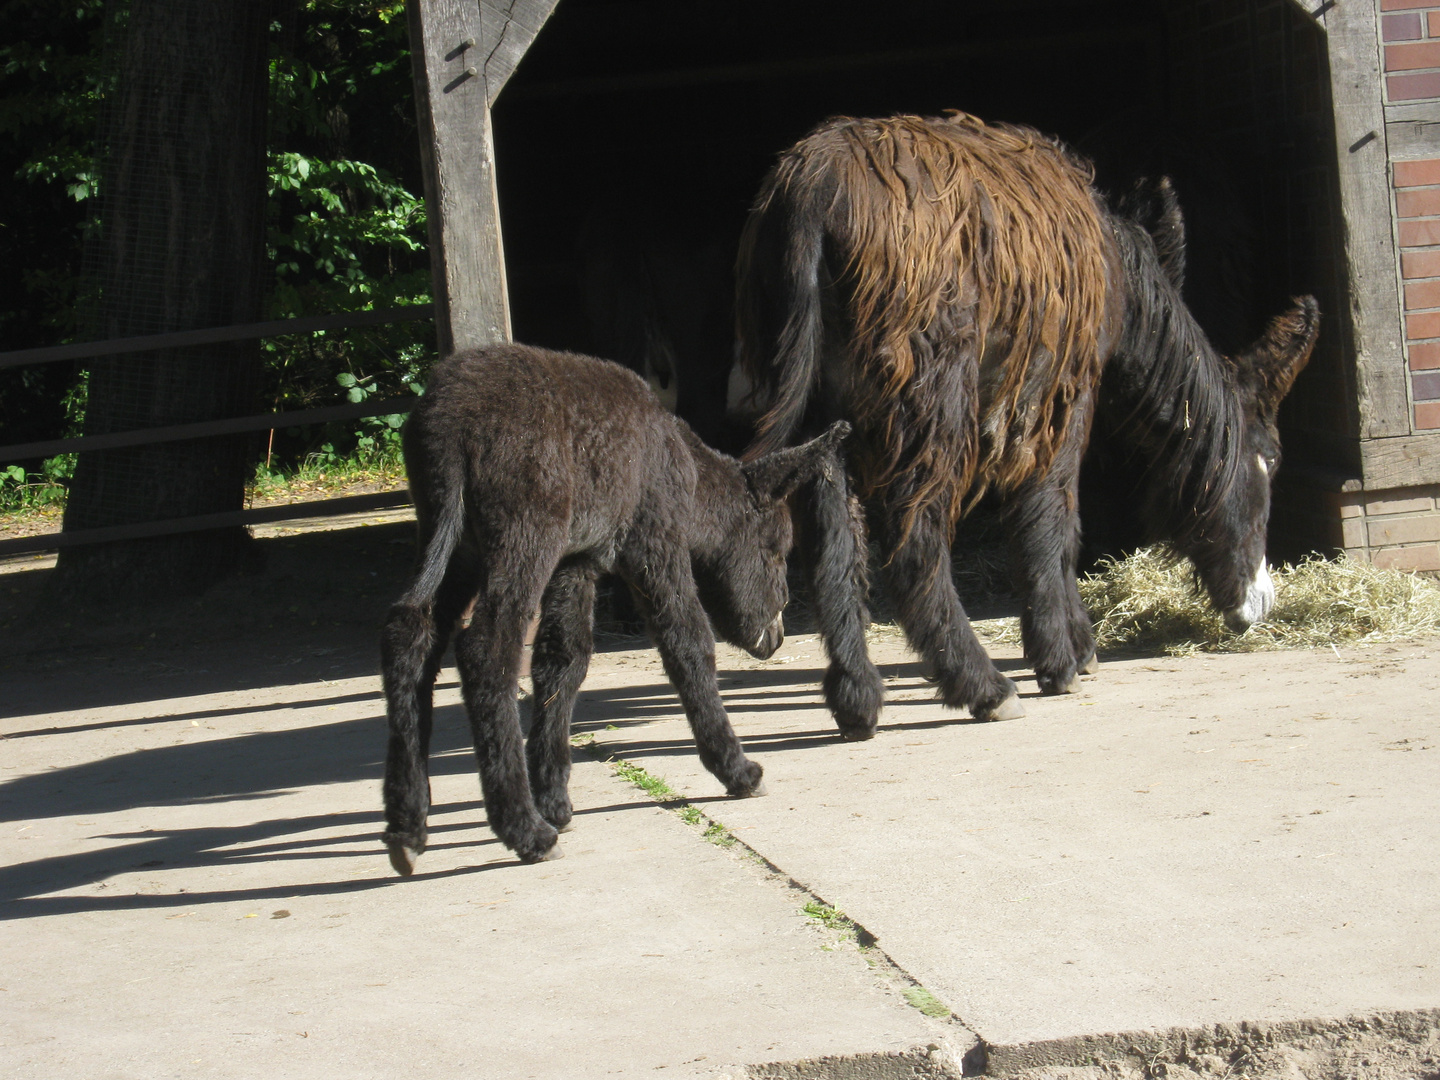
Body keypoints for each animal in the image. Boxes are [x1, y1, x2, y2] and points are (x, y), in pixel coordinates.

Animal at [383, 344, 840, 869]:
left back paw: (408, 828)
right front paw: (737, 770)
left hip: (454, 541)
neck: (682, 466)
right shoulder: (654, 542)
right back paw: (524, 830)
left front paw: (556, 800)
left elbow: (563, 662)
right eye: (777, 551)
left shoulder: (577, 562)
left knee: (410, 638)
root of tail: (450, 421)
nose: (778, 634)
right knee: (485, 650)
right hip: (523, 535)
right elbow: (688, 644)